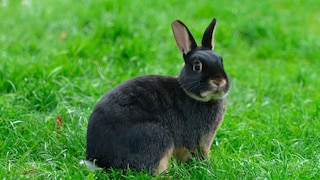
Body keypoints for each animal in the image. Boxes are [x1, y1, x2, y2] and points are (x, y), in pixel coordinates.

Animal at [85, 17, 230, 174]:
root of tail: (99, 160)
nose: (218, 81)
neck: (189, 93)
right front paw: (207, 168)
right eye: (197, 66)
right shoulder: (197, 139)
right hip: (157, 136)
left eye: (221, 61)